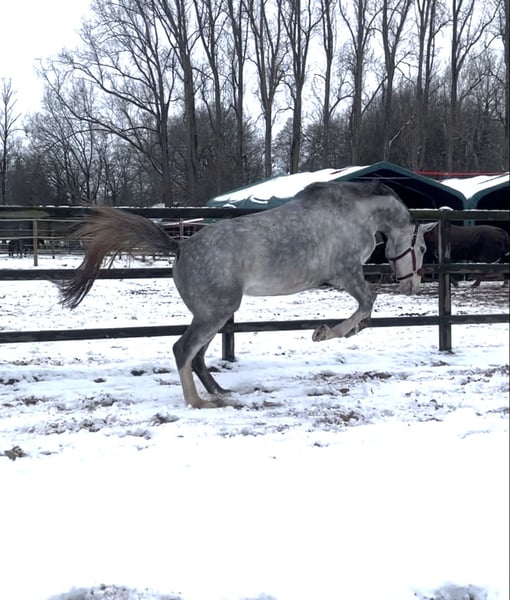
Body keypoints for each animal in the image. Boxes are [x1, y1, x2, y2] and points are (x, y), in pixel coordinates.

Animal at [59, 180, 436, 409]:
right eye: (421, 246)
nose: (413, 286)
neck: (354, 214)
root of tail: (180, 248)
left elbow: (366, 311)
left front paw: (344, 331)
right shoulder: (345, 273)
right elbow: (367, 303)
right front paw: (325, 333)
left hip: (216, 314)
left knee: (197, 356)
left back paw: (220, 392)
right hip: (215, 313)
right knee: (183, 350)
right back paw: (199, 402)